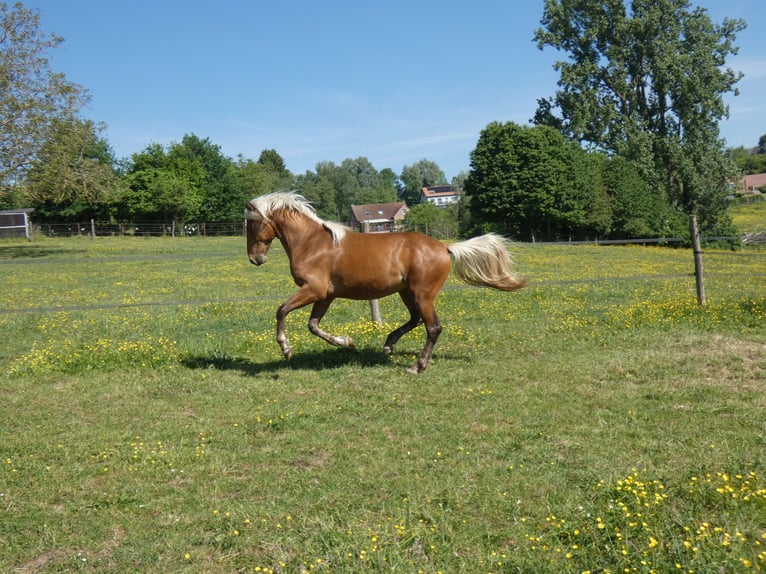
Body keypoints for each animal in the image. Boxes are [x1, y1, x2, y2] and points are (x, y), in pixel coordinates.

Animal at [244, 192, 526, 374]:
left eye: (251, 224)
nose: (255, 259)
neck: (313, 243)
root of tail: (445, 248)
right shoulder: (326, 295)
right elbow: (313, 326)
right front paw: (346, 342)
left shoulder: (314, 290)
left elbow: (281, 310)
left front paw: (286, 349)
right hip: (407, 292)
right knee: (416, 319)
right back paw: (388, 345)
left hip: (423, 294)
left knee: (433, 327)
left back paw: (417, 366)